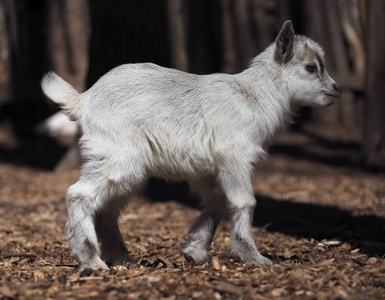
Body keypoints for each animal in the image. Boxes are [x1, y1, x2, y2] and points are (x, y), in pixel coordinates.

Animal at [40, 21, 338, 270]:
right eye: (311, 67)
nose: (335, 90)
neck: (254, 96)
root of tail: (84, 100)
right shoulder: (234, 157)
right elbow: (243, 202)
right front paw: (252, 256)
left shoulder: (206, 169)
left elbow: (218, 202)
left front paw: (194, 250)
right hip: (117, 158)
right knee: (79, 195)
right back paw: (91, 260)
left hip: (125, 169)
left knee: (107, 211)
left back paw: (123, 260)